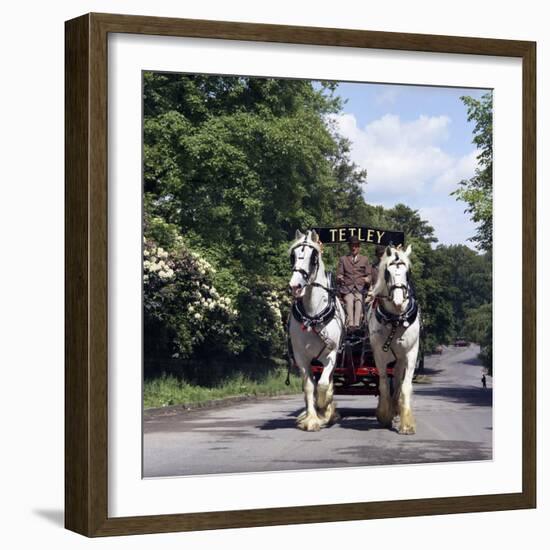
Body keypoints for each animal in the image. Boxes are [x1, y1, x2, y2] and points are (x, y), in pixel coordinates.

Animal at [288, 231, 344, 434]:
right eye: (293, 256)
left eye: (313, 258)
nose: (295, 286)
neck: (312, 316)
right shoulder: (302, 357)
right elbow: (309, 387)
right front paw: (311, 419)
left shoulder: (331, 354)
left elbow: (323, 384)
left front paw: (324, 408)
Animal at [370, 246, 422, 436]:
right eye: (387, 272)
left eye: (408, 272)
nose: (399, 301)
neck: (396, 319)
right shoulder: (379, 354)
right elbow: (384, 384)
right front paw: (384, 414)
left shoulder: (412, 352)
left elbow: (405, 385)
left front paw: (407, 423)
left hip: (400, 358)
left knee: (398, 379)